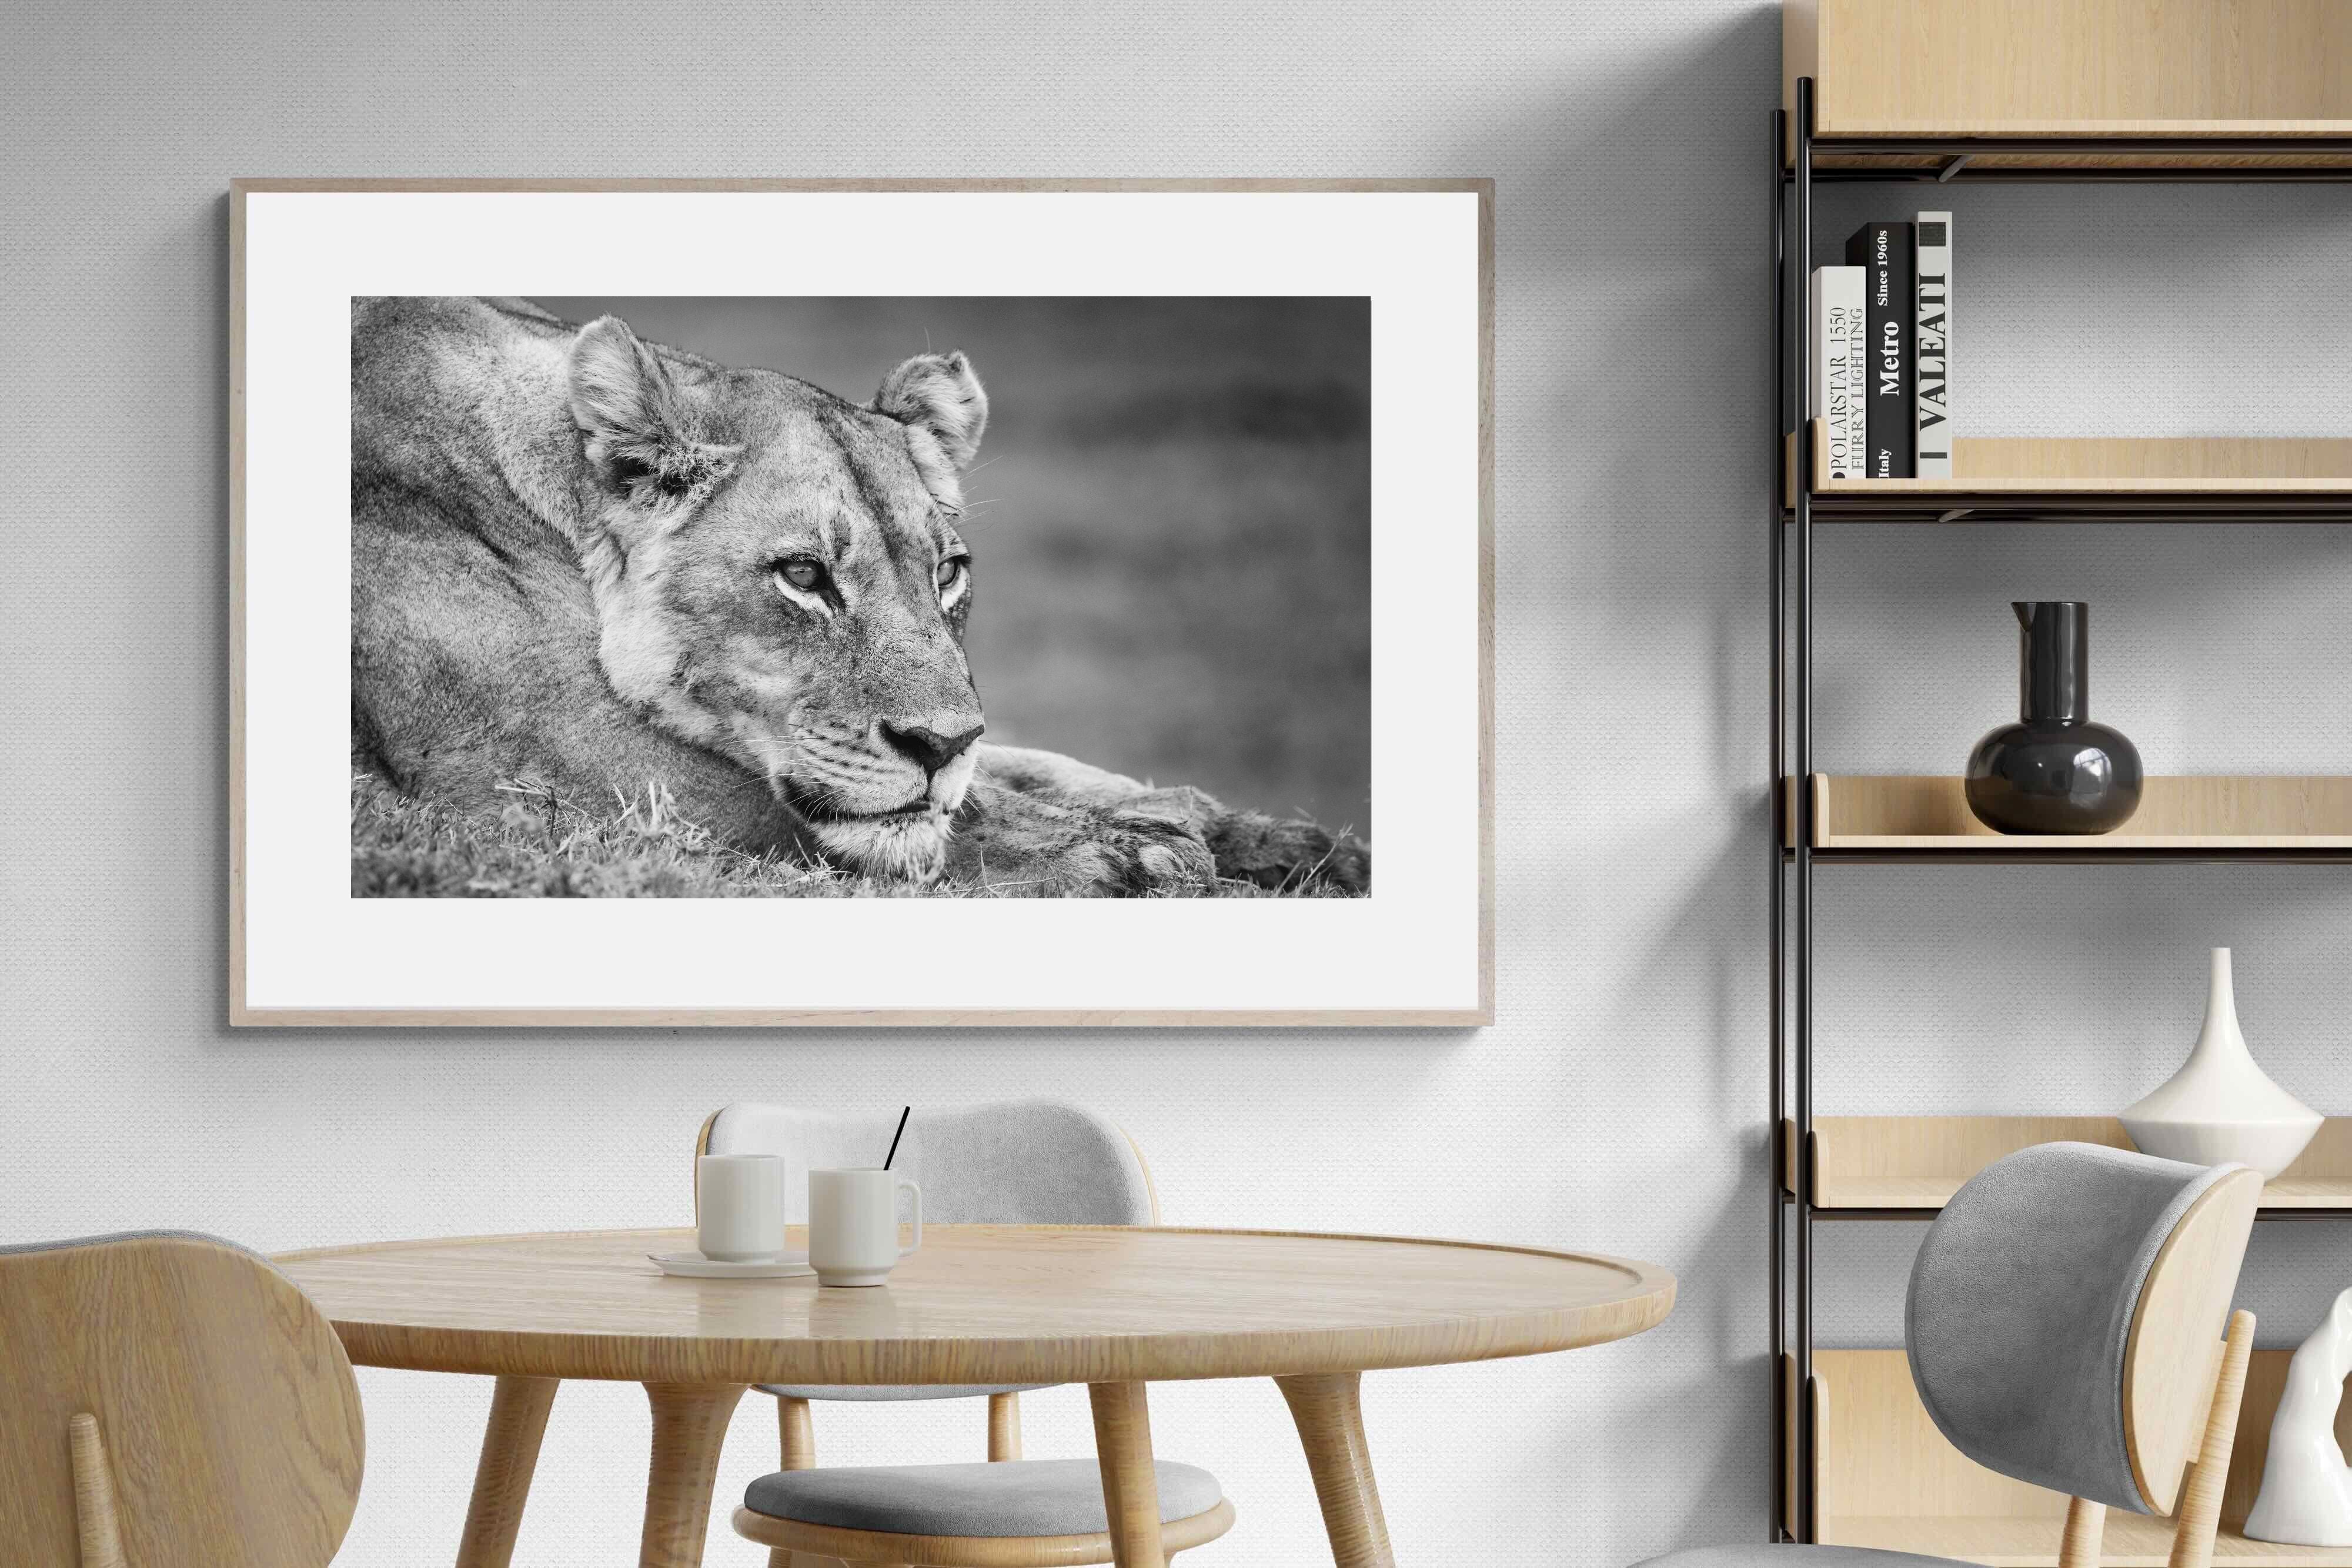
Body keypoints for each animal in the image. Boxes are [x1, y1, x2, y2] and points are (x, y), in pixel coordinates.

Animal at [350, 296, 1368, 896]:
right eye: (804, 576)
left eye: (946, 571)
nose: (939, 745)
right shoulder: (538, 762)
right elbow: (902, 818)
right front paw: (1133, 854)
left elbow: (1031, 770)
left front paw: (1282, 838)